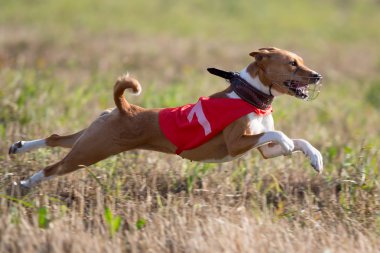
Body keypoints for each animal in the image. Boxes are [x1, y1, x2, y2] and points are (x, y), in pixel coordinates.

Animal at [8, 47, 324, 190]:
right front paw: (290, 145)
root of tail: (125, 108)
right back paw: (25, 184)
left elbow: (300, 140)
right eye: (292, 63)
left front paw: (316, 158)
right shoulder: (237, 143)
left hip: (91, 138)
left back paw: (18, 147)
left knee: (55, 139)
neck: (248, 97)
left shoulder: (264, 150)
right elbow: (282, 136)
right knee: (53, 167)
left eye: (301, 60)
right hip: (91, 151)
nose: (318, 75)